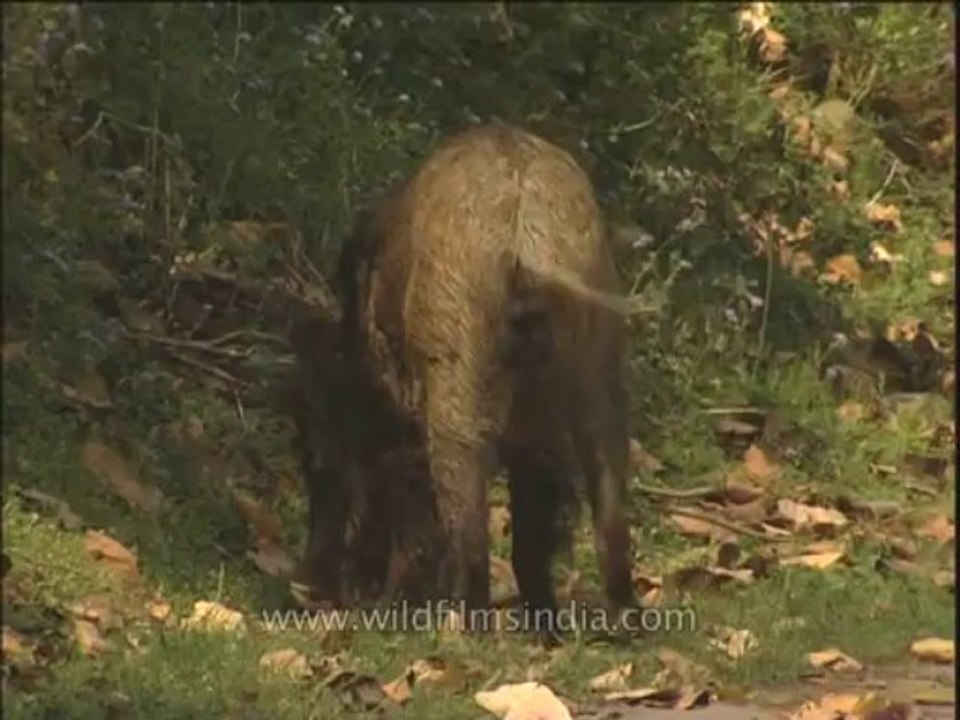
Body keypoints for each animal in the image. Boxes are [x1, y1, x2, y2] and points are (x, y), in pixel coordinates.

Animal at [289, 121, 636, 627]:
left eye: (314, 456)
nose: (305, 588)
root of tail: (528, 237)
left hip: (459, 381)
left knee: (468, 520)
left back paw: (458, 625)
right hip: (599, 364)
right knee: (605, 495)